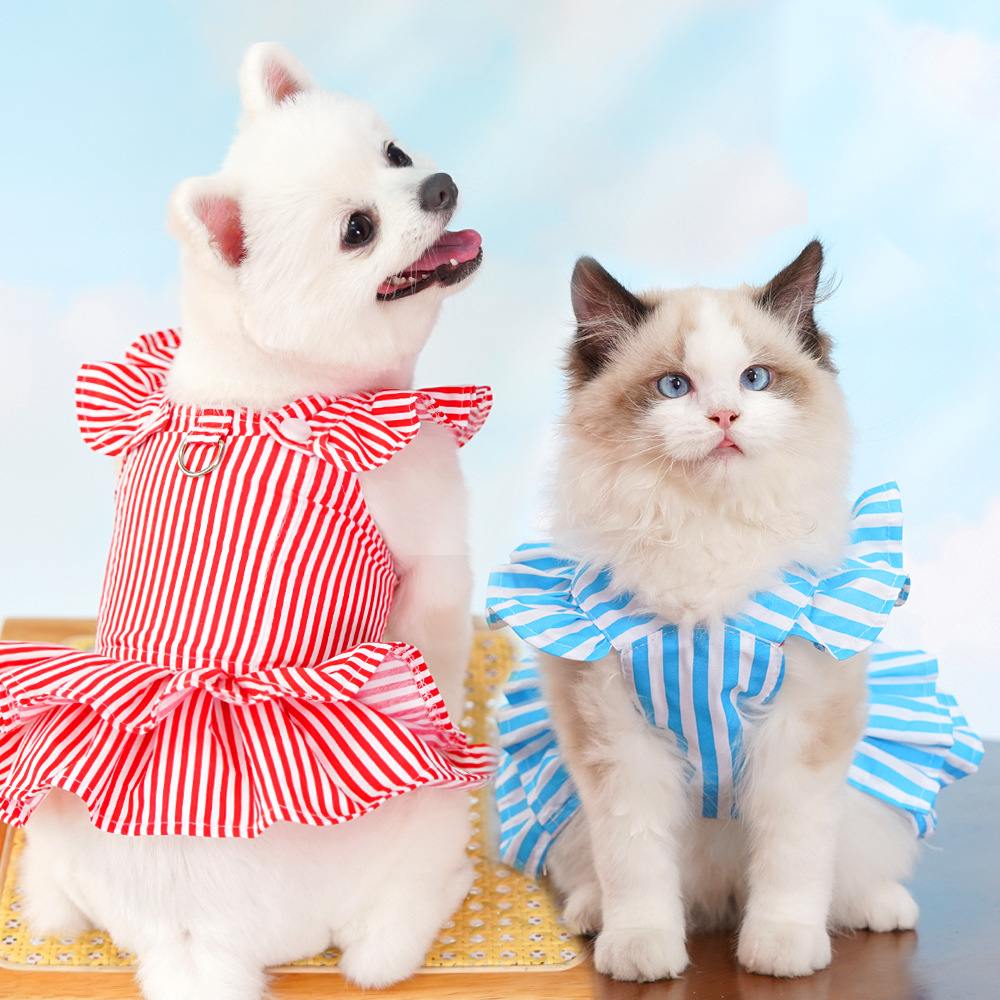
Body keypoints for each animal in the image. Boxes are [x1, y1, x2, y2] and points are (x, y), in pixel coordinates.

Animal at [5, 42, 490, 1000]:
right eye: (357, 231)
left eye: (393, 153)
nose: (439, 185)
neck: (280, 379)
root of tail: (188, 935)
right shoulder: (430, 545)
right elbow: (445, 645)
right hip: (415, 814)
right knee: (382, 937)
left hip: (54, 823)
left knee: (52, 892)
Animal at [486, 242, 981, 980]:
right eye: (675, 388)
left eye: (756, 380)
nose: (724, 417)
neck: (705, 532)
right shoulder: (619, 743)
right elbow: (636, 866)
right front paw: (641, 951)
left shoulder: (799, 734)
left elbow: (792, 864)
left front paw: (781, 949)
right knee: (592, 874)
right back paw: (593, 916)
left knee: (852, 873)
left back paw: (880, 907)